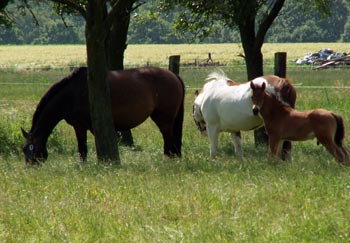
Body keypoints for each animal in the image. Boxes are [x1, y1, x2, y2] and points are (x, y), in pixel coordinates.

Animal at [21, 66, 186, 164]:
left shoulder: (86, 126)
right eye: (23, 149)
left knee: (169, 141)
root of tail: (174, 75)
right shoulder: (79, 127)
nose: (30, 167)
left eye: (30, 148)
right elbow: (82, 149)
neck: (73, 93)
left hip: (164, 120)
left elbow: (85, 148)